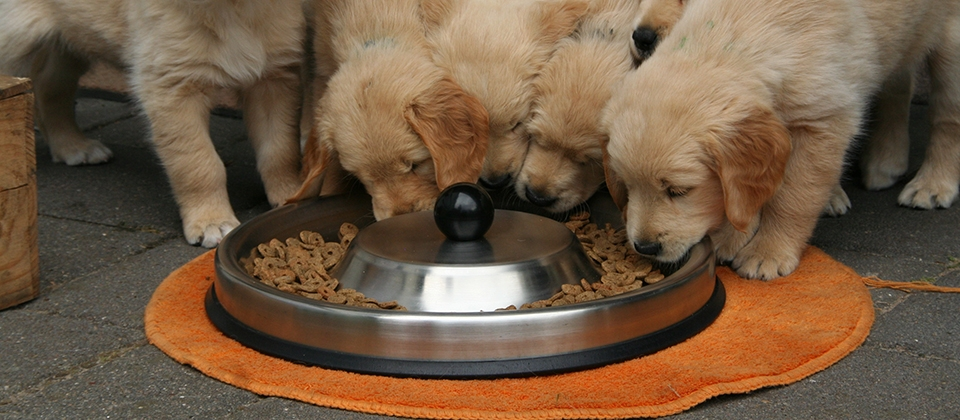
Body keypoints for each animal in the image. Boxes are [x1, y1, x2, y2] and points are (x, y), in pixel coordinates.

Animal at [0, 0, 304, 248]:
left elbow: (279, 151)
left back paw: (73, 146)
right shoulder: (170, 87)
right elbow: (199, 164)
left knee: (49, 88)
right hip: (17, 34)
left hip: (66, 40)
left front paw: (291, 194)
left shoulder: (273, 80)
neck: (232, 8)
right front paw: (211, 220)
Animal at [604, 0, 956, 278]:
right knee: (900, 76)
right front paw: (734, 234)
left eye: (679, 191)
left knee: (947, 116)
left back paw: (933, 184)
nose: (645, 247)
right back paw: (886, 161)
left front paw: (767, 251)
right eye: (628, 186)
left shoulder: (821, 121)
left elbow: (792, 197)